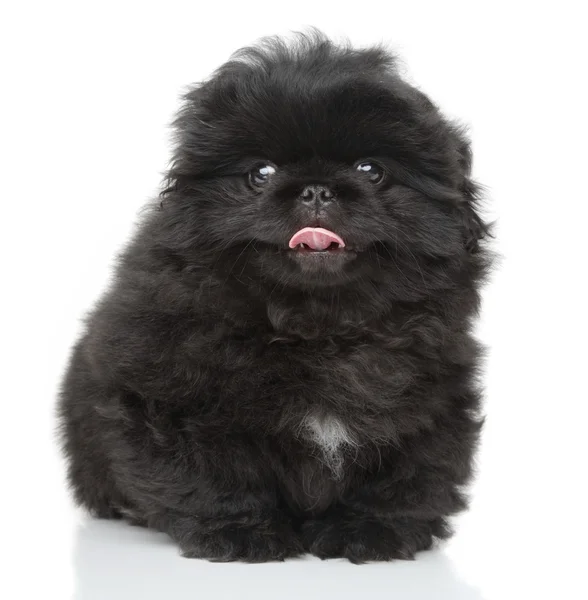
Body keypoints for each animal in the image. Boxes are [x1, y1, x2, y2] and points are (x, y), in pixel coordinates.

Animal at [60, 32, 492, 564]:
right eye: (260, 173)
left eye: (371, 170)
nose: (316, 190)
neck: (316, 329)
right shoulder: (168, 399)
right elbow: (211, 473)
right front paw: (240, 531)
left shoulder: (429, 406)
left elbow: (406, 476)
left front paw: (370, 530)